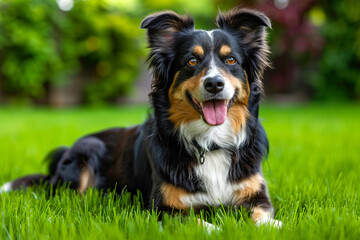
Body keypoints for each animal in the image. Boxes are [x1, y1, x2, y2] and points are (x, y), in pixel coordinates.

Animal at [0, 7, 282, 228]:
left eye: (231, 60)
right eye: (191, 61)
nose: (214, 84)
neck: (210, 143)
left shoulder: (257, 196)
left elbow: (265, 217)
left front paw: (272, 227)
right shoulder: (163, 208)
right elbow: (201, 223)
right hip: (88, 149)